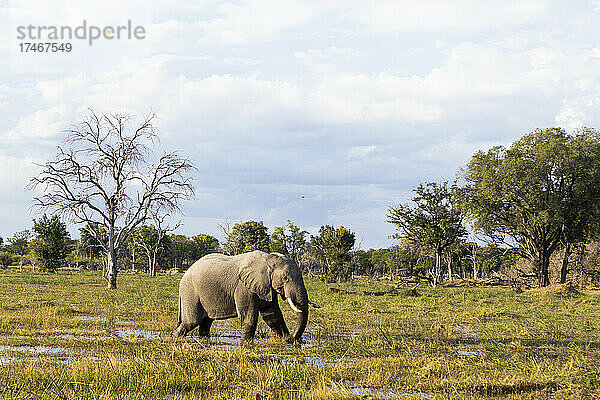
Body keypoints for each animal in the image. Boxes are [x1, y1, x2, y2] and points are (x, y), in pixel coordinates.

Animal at [171, 250, 312, 340]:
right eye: (285, 278)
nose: (292, 338)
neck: (269, 258)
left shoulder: (266, 287)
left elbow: (273, 315)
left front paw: (286, 341)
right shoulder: (244, 288)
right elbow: (250, 317)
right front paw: (246, 345)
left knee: (205, 323)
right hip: (190, 292)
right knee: (191, 322)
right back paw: (174, 338)